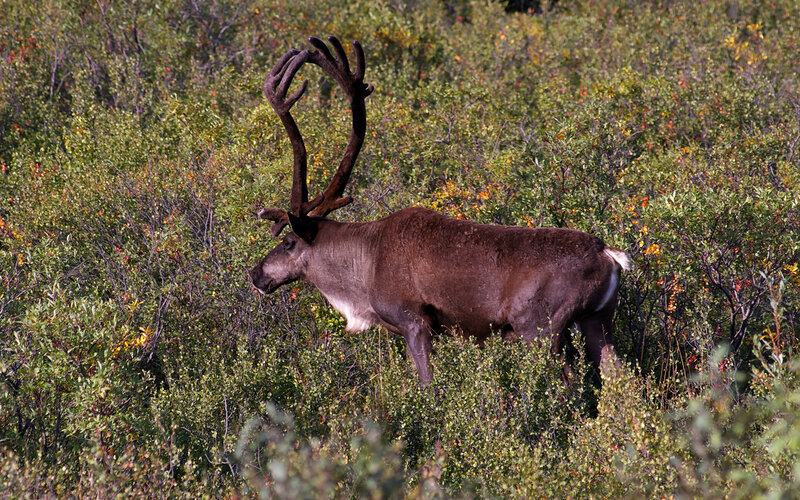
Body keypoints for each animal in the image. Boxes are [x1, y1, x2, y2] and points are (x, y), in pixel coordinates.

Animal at [250, 36, 631, 385]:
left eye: (287, 242)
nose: (256, 273)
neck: (363, 272)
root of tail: (610, 255)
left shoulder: (414, 320)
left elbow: (428, 385)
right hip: (599, 319)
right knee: (620, 381)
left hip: (540, 326)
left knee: (569, 385)